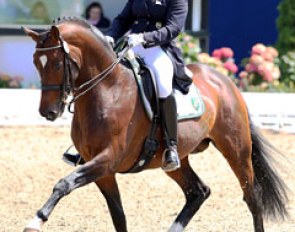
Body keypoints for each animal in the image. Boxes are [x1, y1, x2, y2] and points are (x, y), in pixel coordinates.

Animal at [22, 18, 290, 232]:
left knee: (252, 195)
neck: (109, 90)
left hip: (236, 148)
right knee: (198, 192)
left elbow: (64, 184)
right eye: (35, 62)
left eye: (57, 64)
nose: (48, 112)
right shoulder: (100, 168)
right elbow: (118, 215)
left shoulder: (107, 159)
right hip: (176, 159)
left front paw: (36, 221)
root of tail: (224, 81)